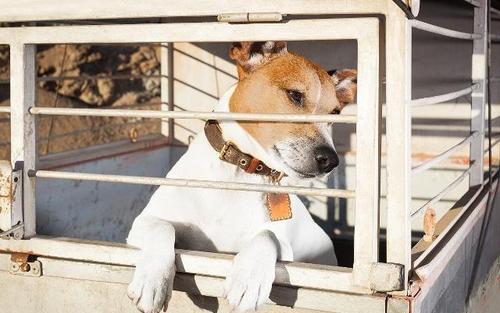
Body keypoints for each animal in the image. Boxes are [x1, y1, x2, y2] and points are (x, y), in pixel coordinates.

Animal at [127, 41, 358, 312]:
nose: (331, 160)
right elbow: (162, 227)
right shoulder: (142, 223)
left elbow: (267, 235)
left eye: (334, 113)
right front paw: (153, 281)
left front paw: (249, 280)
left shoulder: (284, 247)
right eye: (295, 95)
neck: (239, 171)